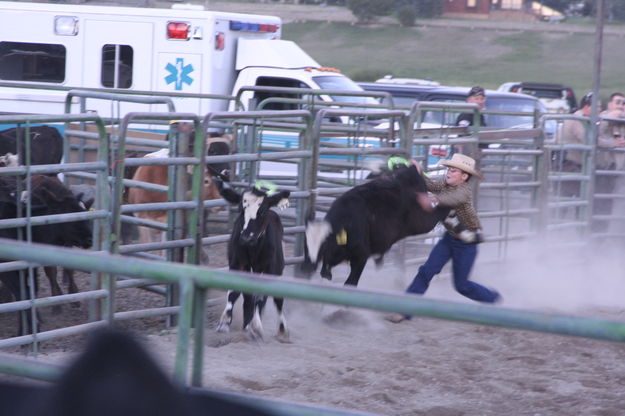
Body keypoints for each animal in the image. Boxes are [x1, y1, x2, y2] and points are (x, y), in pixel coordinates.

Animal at [214, 183, 290, 342]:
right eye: (241, 210)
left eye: (262, 211)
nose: (247, 237)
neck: (253, 248)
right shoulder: (237, 265)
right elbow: (234, 292)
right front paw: (225, 321)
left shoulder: (266, 270)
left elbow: (260, 297)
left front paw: (256, 325)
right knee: (249, 298)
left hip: (277, 271)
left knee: (277, 300)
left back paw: (281, 330)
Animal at [302, 164, 448, 288]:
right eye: (305, 246)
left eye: (324, 246)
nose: (308, 268)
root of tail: (410, 169)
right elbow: (326, 275)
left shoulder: (360, 256)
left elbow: (350, 283)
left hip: (421, 221)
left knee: (436, 214)